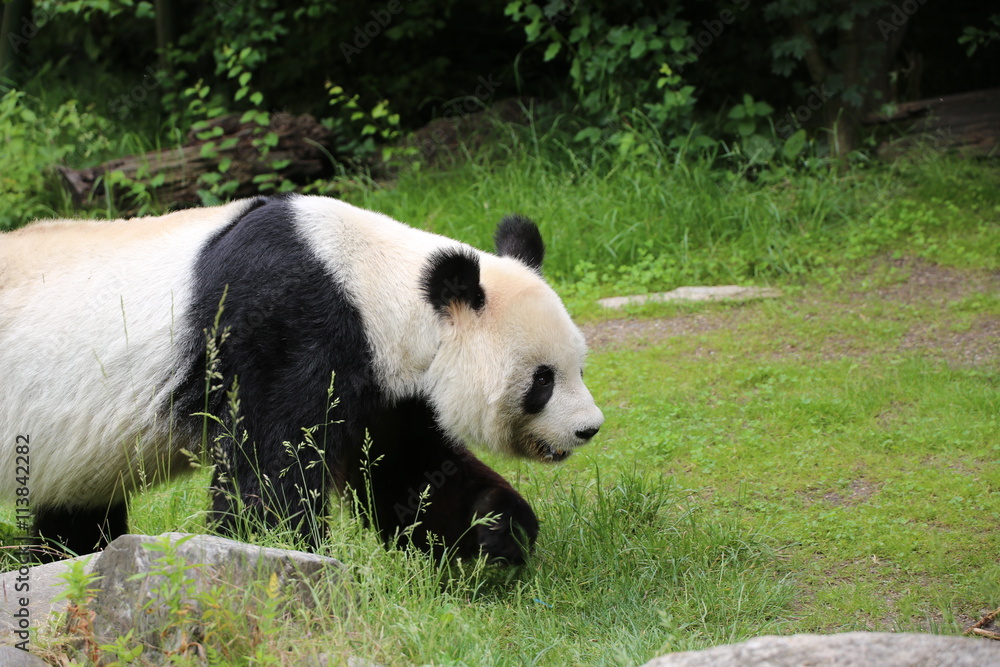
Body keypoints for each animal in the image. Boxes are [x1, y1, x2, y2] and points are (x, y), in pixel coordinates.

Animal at [0, 196, 600, 568]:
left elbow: (410, 472)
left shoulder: (386, 387)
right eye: (542, 380)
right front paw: (283, 552)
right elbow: (269, 469)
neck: (369, 281)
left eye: (580, 366)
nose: (588, 429)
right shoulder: (281, 328)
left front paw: (498, 531)